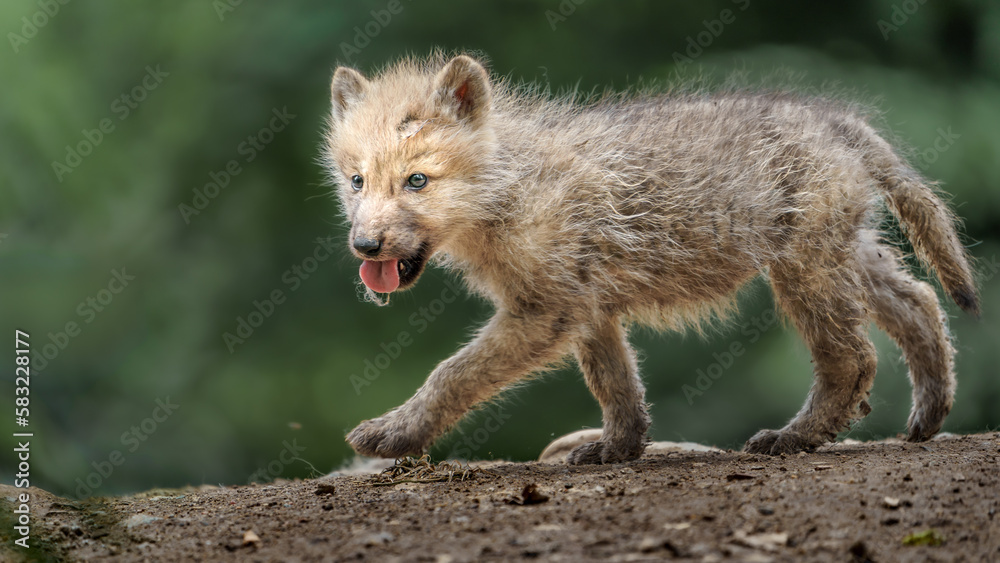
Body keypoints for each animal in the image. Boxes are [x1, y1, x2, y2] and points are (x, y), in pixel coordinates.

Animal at [324, 53, 978, 463]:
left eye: (417, 181)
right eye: (357, 182)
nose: (364, 246)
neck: (506, 188)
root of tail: (836, 119)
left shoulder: (547, 310)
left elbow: (452, 373)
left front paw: (394, 434)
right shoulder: (588, 308)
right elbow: (618, 386)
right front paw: (618, 450)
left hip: (804, 268)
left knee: (853, 357)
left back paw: (795, 438)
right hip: (847, 253)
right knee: (919, 303)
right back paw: (927, 418)